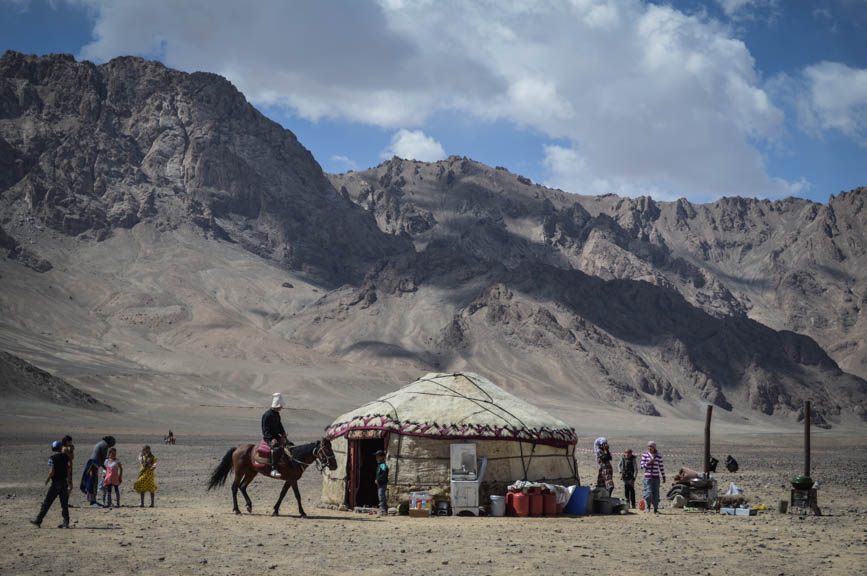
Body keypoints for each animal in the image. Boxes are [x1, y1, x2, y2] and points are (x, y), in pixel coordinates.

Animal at [205, 436, 338, 516]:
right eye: (326, 449)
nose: (334, 465)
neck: (295, 458)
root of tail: (237, 449)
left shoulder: (289, 480)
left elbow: (282, 494)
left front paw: (275, 510)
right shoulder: (293, 480)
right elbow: (297, 496)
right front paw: (302, 512)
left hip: (251, 472)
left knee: (242, 486)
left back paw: (249, 506)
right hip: (240, 471)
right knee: (234, 487)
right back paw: (237, 510)